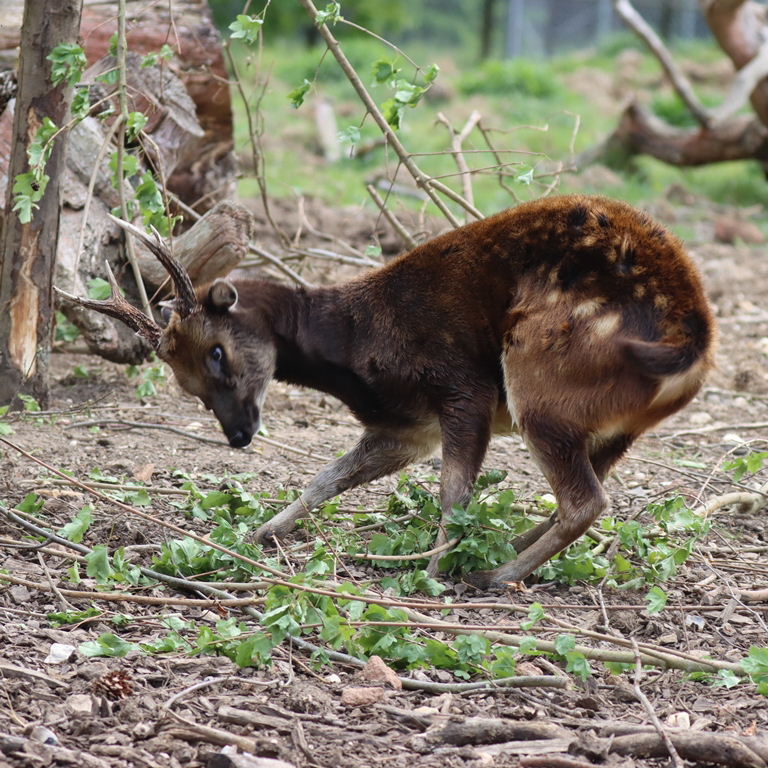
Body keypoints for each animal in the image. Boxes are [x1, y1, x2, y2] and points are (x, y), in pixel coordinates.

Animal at [58, 195, 715, 589]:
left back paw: (492, 576)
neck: (356, 342)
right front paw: (263, 532)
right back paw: (506, 550)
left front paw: (431, 569)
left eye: (216, 351)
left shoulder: (462, 388)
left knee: (585, 501)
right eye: (185, 385)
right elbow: (326, 477)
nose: (239, 434)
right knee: (584, 493)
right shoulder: (404, 426)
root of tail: (691, 338)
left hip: (536, 381)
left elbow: (453, 496)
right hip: (614, 426)